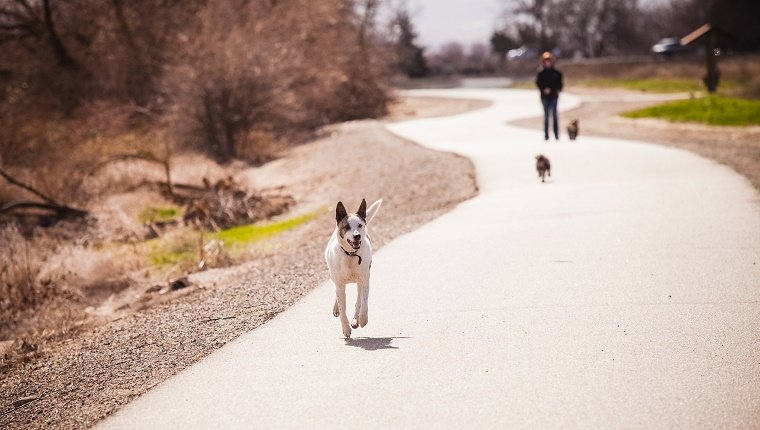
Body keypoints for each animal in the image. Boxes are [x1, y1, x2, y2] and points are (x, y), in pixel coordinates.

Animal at [326, 199, 382, 340]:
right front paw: (346, 328)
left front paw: (362, 319)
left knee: (358, 301)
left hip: (359, 282)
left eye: (360, 225)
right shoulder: (340, 285)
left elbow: (364, 303)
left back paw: (356, 320)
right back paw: (336, 309)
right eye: (346, 226)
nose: (357, 236)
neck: (350, 255)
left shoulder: (365, 280)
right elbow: (342, 310)